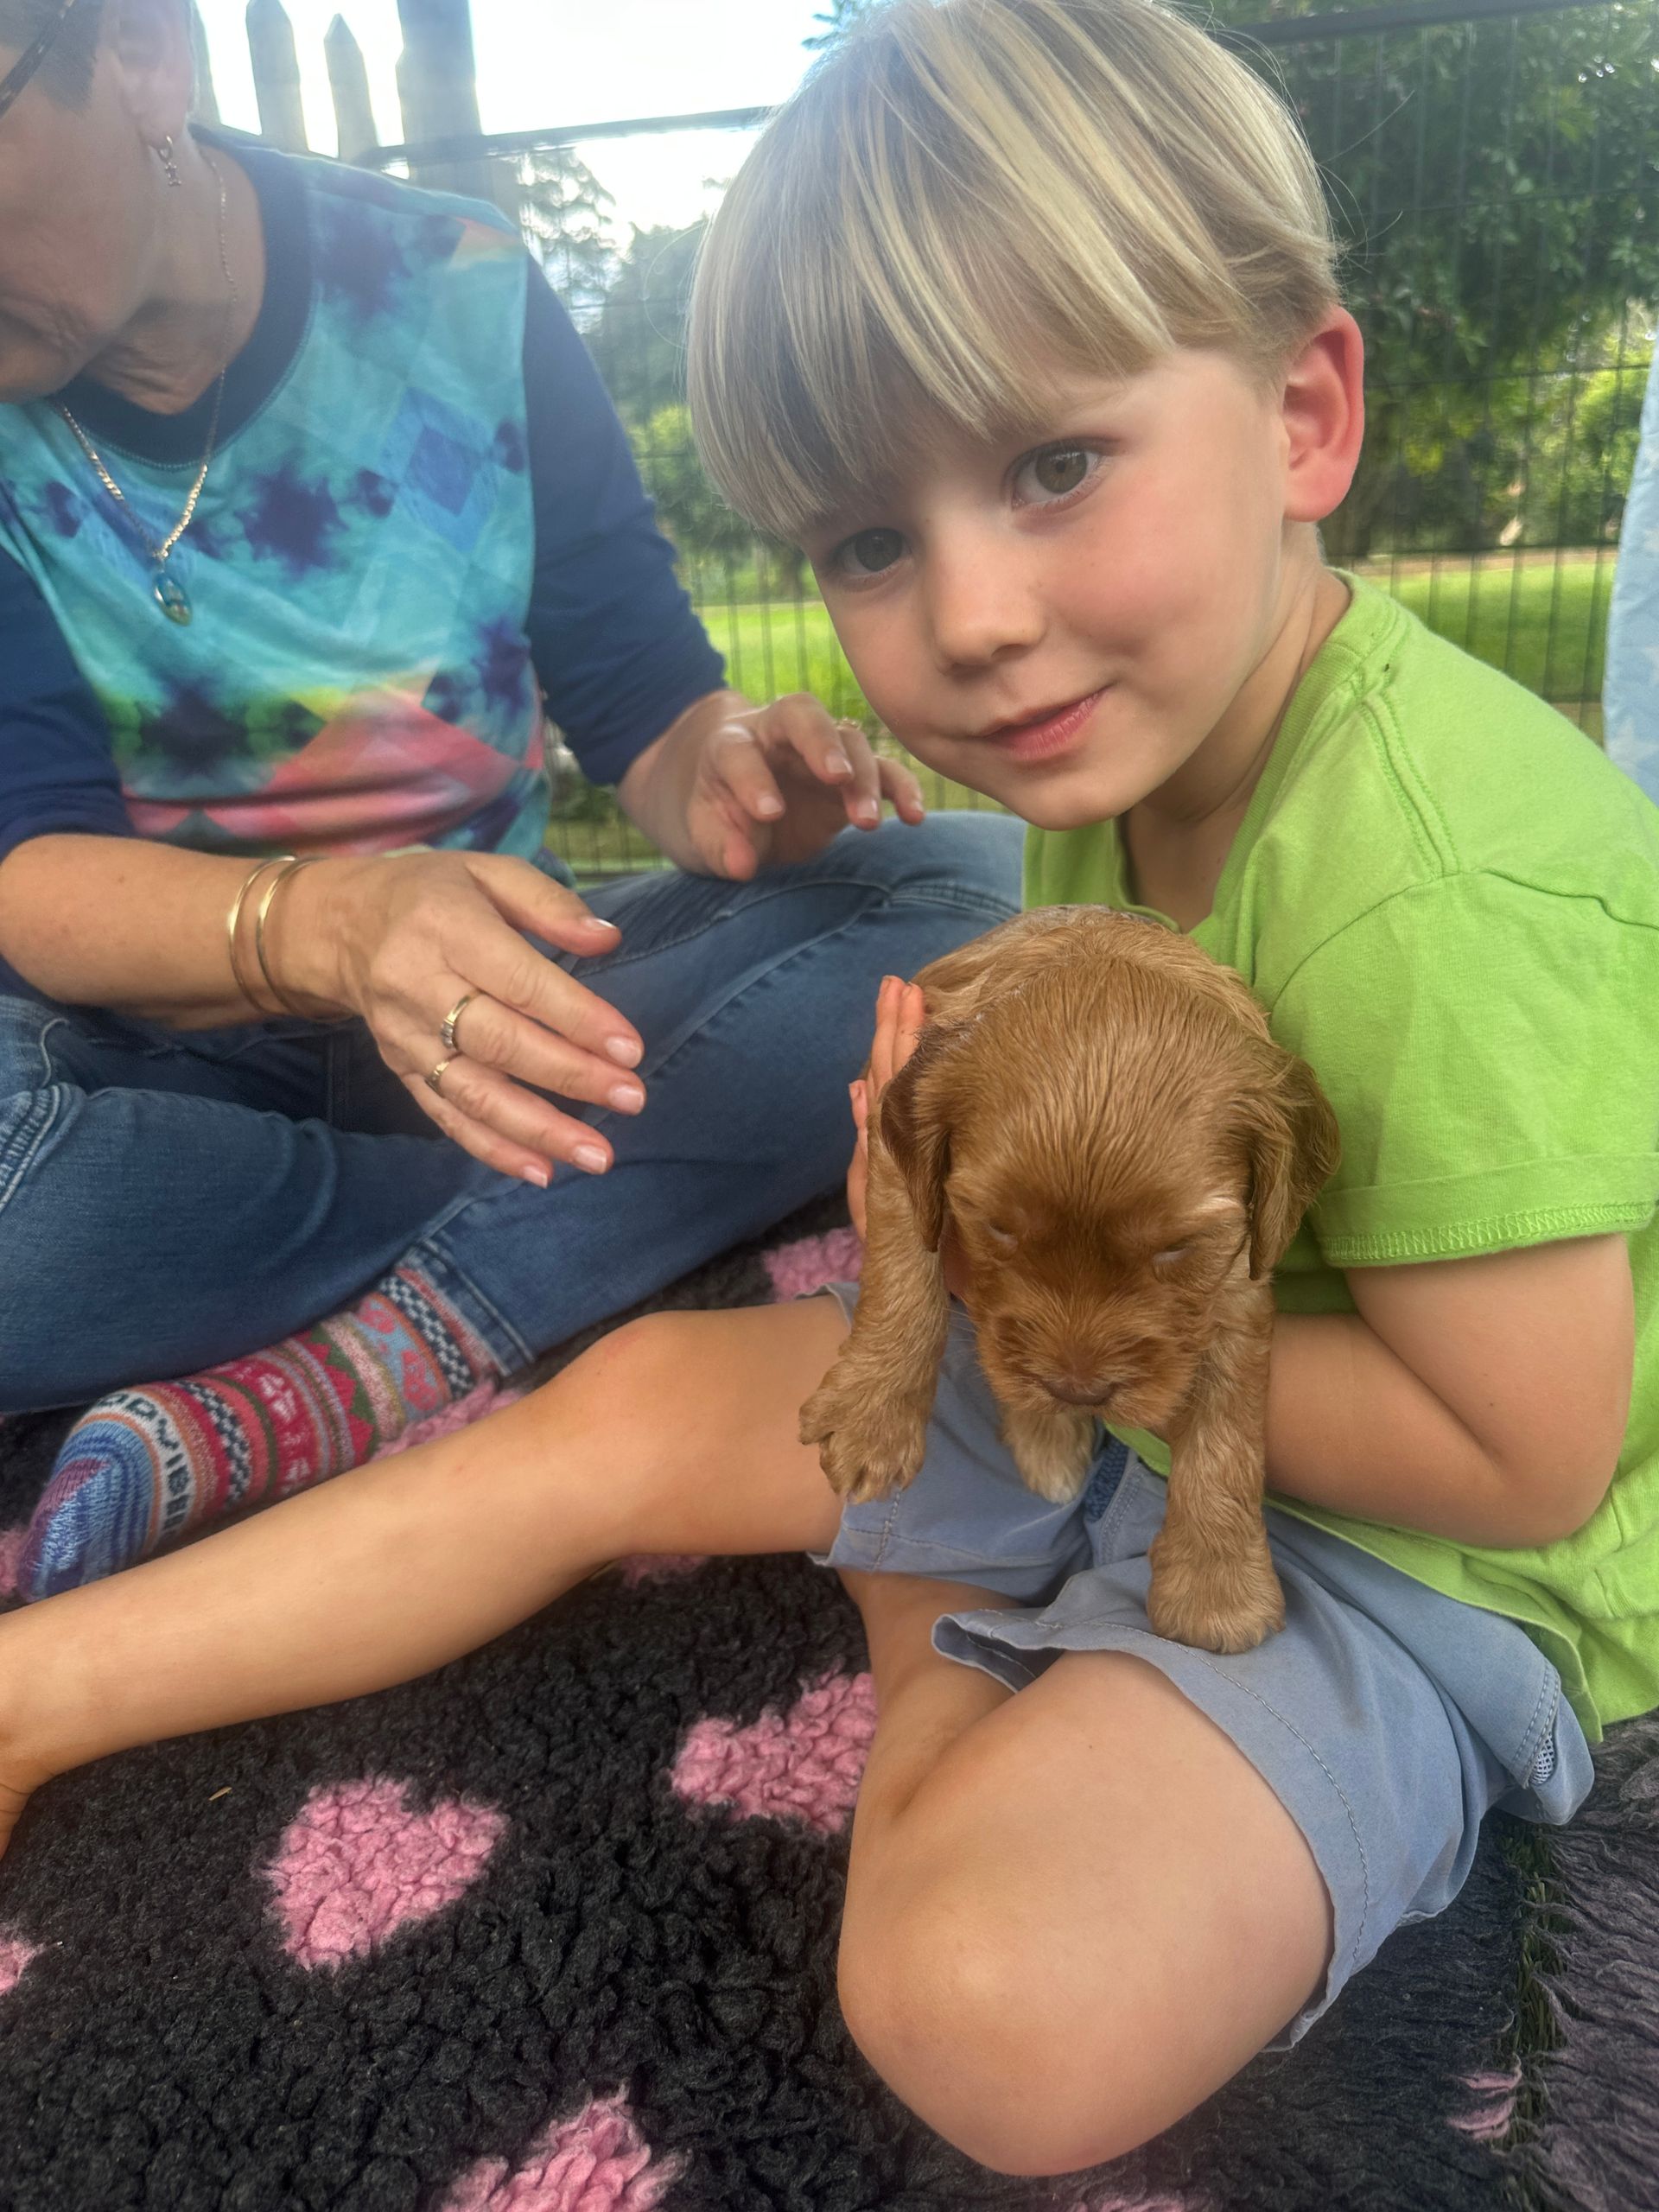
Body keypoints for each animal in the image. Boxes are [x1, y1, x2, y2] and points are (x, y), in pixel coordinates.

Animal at [799, 905, 1340, 1654]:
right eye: (996, 1227)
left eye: (1177, 1247)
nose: (1078, 1391)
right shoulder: (897, 1147)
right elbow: (905, 1269)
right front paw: (872, 1418)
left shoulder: (1241, 1267)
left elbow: (1227, 1418)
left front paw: (1216, 1587)